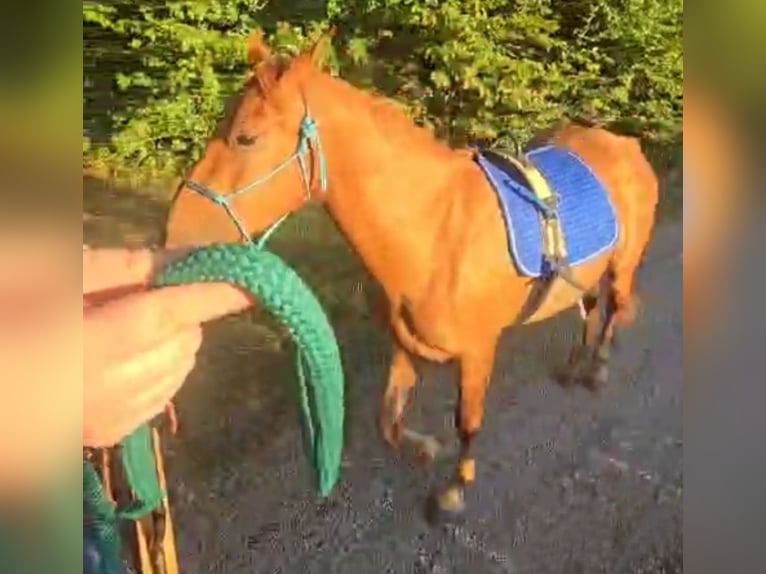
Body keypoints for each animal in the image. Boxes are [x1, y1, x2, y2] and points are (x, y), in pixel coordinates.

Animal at [164, 31, 659, 519]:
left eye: (246, 137)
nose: (174, 231)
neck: (437, 232)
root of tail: (624, 144)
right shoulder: (404, 344)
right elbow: (388, 420)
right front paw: (424, 448)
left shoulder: (478, 352)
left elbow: (467, 421)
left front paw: (455, 489)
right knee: (589, 306)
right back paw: (575, 365)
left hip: (622, 266)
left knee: (612, 307)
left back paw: (597, 369)